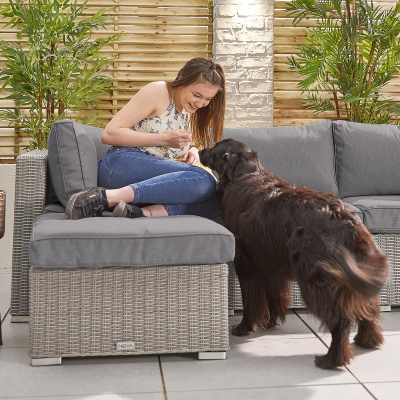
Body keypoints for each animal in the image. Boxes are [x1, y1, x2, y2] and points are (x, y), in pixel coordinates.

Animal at [198, 140, 390, 368]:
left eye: (213, 148)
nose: (199, 150)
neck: (245, 174)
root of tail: (344, 218)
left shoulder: (245, 263)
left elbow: (251, 300)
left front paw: (245, 327)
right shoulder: (272, 264)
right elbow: (275, 296)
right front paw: (270, 322)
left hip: (316, 280)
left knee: (340, 320)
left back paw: (332, 359)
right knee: (367, 307)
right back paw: (367, 340)